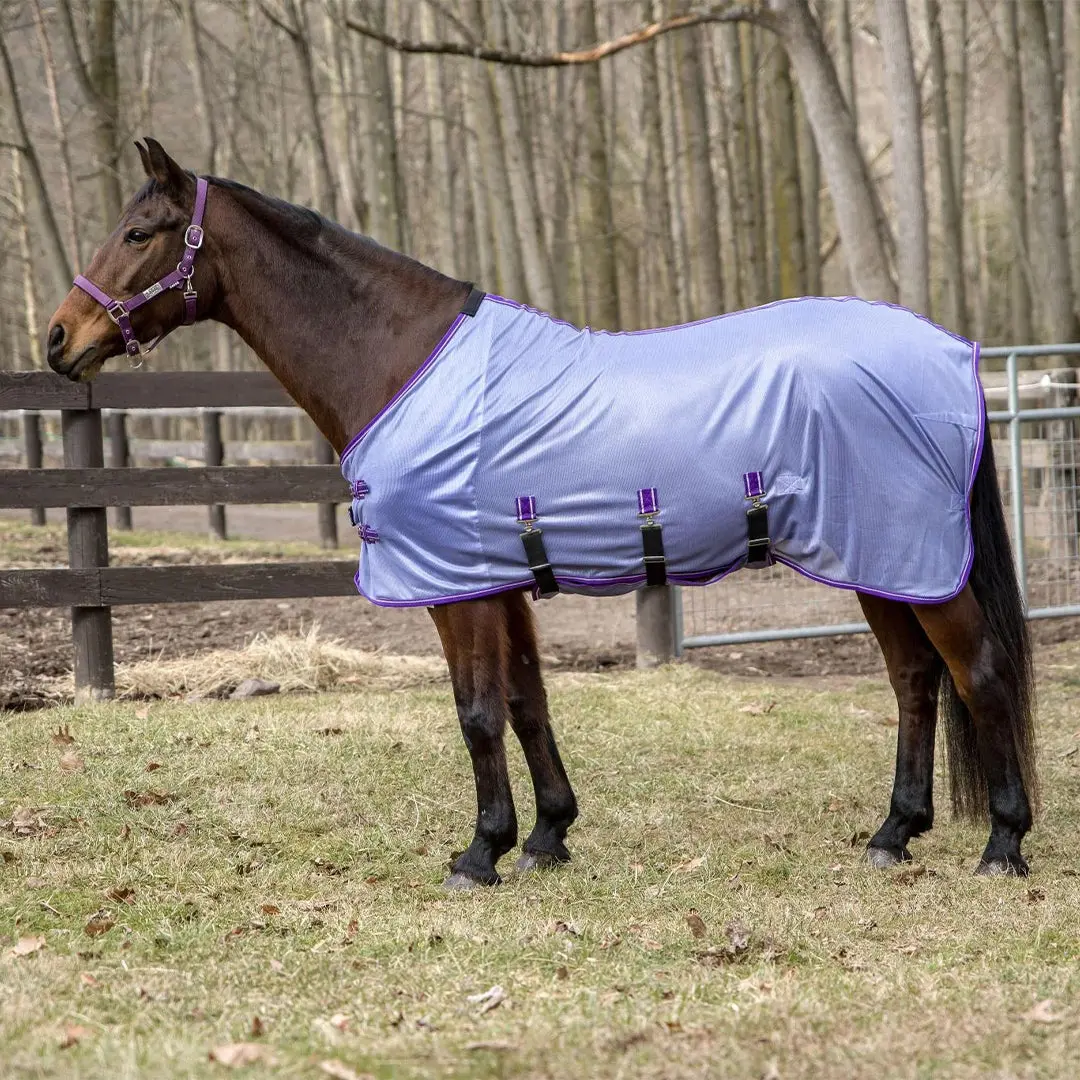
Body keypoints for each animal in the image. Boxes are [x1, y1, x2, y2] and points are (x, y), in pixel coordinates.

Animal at [46, 139, 1037, 885]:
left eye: (138, 231)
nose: (59, 340)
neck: (403, 363)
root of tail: (953, 353)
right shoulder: (502, 579)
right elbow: (527, 701)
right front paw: (547, 835)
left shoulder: (456, 585)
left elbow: (477, 711)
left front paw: (479, 853)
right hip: (876, 557)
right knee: (915, 679)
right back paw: (893, 834)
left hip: (908, 556)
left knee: (979, 671)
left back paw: (1002, 842)